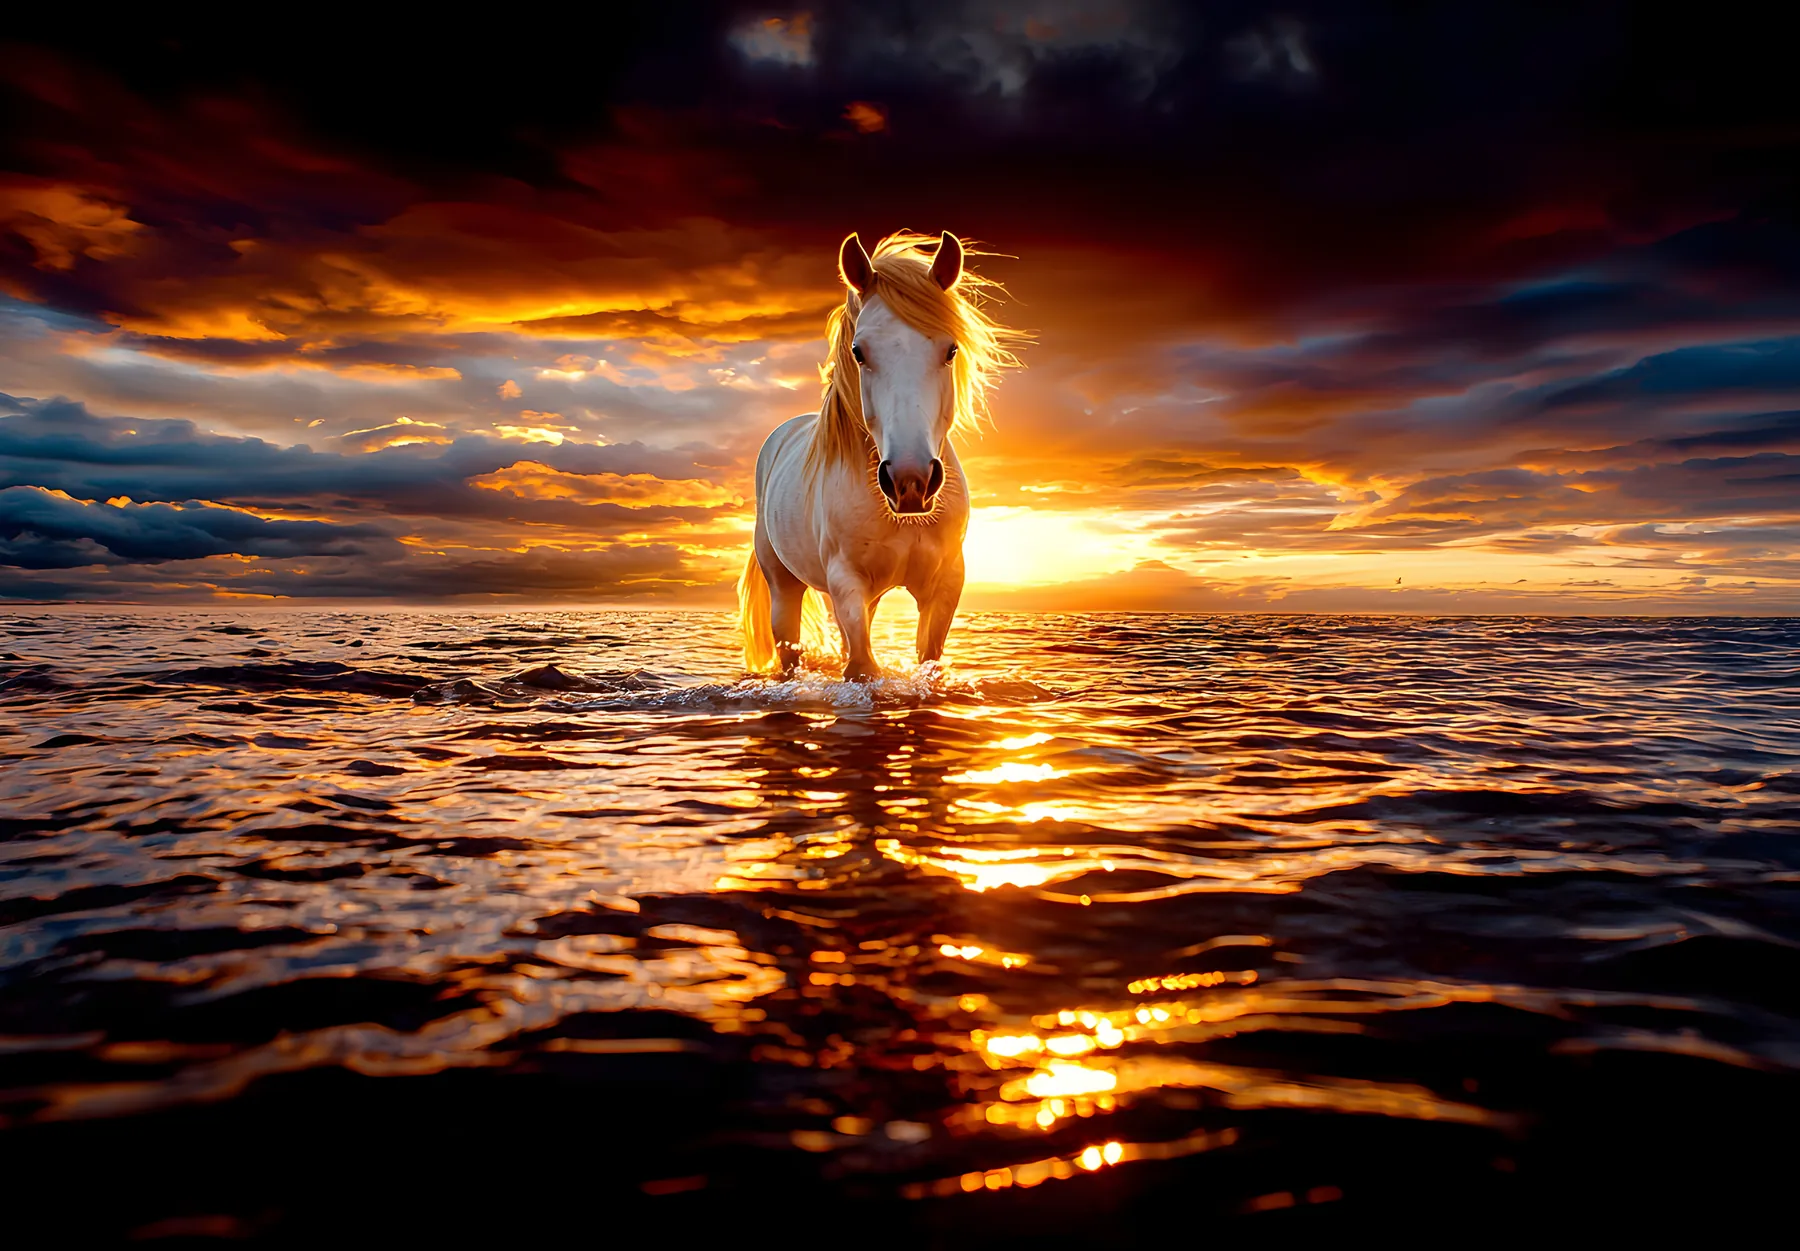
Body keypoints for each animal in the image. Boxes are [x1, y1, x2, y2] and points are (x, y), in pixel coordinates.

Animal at [738, 230, 1025, 681]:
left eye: (951, 350)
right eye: (859, 352)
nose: (911, 481)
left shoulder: (945, 584)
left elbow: (928, 659)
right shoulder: (846, 582)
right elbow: (861, 668)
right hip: (784, 586)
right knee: (788, 650)